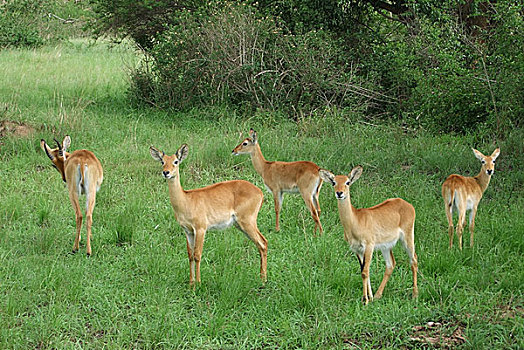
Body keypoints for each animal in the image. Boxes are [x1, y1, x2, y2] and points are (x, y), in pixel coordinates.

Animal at [149, 144, 268, 286]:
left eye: (176, 161)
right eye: (162, 161)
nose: (166, 172)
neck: (186, 201)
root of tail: (260, 192)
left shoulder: (200, 228)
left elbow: (197, 254)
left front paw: (198, 283)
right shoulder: (188, 231)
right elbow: (190, 255)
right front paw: (191, 283)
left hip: (247, 222)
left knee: (263, 243)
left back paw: (263, 280)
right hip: (240, 225)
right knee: (261, 244)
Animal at [320, 166, 418, 304]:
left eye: (347, 182)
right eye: (334, 182)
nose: (339, 193)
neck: (355, 222)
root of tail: (407, 204)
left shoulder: (369, 246)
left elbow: (365, 272)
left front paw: (365, 300)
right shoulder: (357, 249)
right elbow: (363, 270)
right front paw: (369, 297)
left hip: (407, 237)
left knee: (414, 260)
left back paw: (415, 295)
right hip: (386, 246)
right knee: (391, 264)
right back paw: (378, 295)